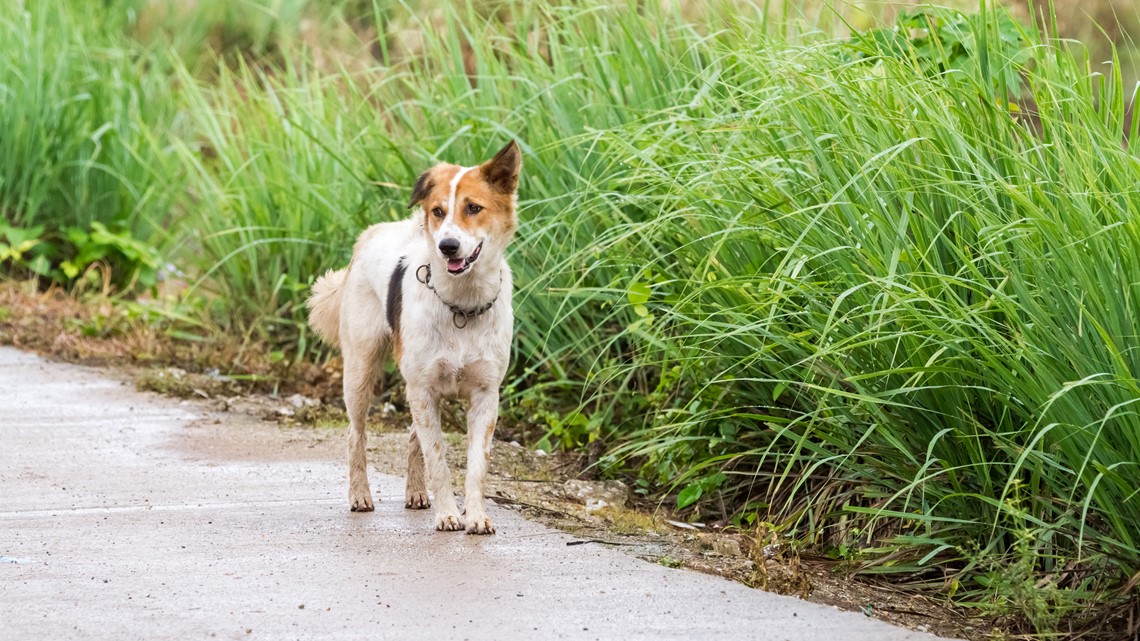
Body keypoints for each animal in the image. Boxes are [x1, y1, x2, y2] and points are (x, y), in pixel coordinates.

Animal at [307, 140, 522, 533]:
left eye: (473, 207)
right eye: (438, 211)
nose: (447, 246)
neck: (462, 306)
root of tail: (371, 233)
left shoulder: (484, 395)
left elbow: (475, 465)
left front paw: (475, 516)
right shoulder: (422, 388)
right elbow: (438, 459)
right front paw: (449, 514)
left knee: (412, 436)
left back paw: (416, 493)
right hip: (361, 371)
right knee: (356, 434)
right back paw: (360, 495)